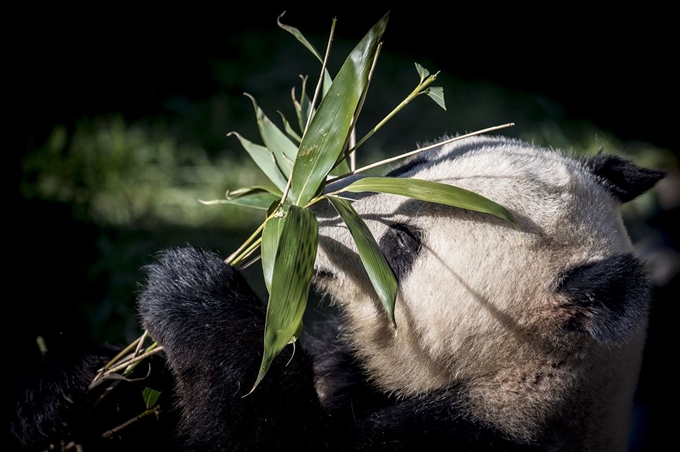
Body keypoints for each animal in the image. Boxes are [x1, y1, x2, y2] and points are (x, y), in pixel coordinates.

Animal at [9, 134, 664, 448]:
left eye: (401, 243)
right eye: (408, 167)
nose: (307, 210)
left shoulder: (474, 434)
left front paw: (192, 293)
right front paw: (68, 389)